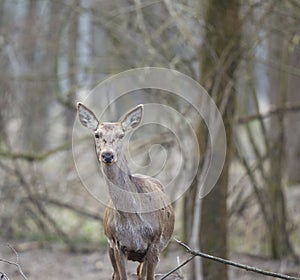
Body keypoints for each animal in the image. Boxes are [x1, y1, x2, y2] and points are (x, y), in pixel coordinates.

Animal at [77, 103, 175, 280]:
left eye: (121, 135)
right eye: (97, 134)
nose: (107, 155)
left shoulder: (154, 243)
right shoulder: (117, 244)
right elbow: (122, 276)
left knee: (140, 273)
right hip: (109, 247)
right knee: (115, 275)